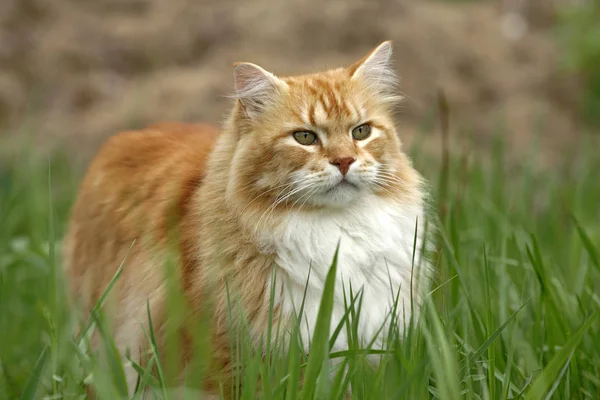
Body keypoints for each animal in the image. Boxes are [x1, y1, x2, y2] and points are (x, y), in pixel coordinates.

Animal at [64, 40, 432, 396]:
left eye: (361, 132)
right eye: (305, 137)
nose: (344, 161)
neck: (333, 233)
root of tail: (127, 135)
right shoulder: (223, 361)